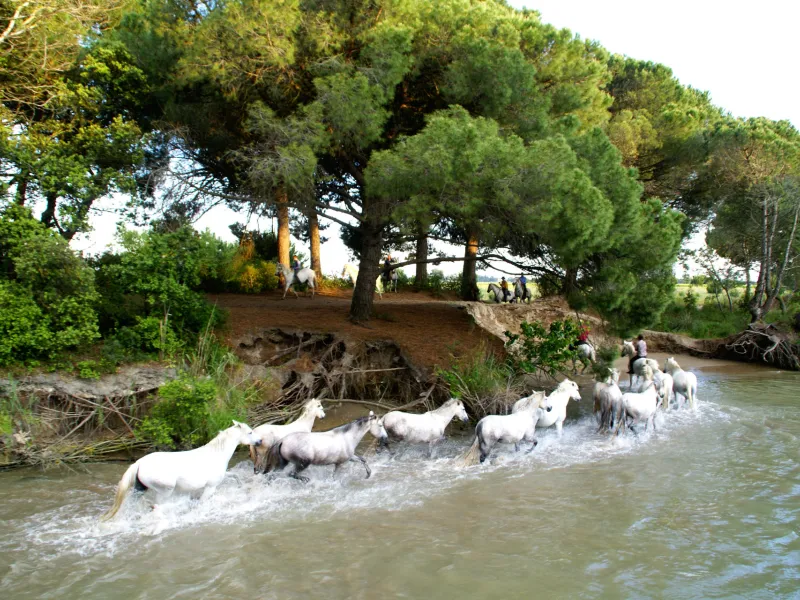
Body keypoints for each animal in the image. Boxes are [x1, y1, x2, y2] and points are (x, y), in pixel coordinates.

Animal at [102, 421, 261, 520]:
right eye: (250, 432)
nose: (259, 441)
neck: (217, 454)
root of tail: (139, 463)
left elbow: (235, 476)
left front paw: (243, 488)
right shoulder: (210, 487)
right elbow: (202, 503)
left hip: (140, 489)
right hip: (166, 490)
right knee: (159, 505)